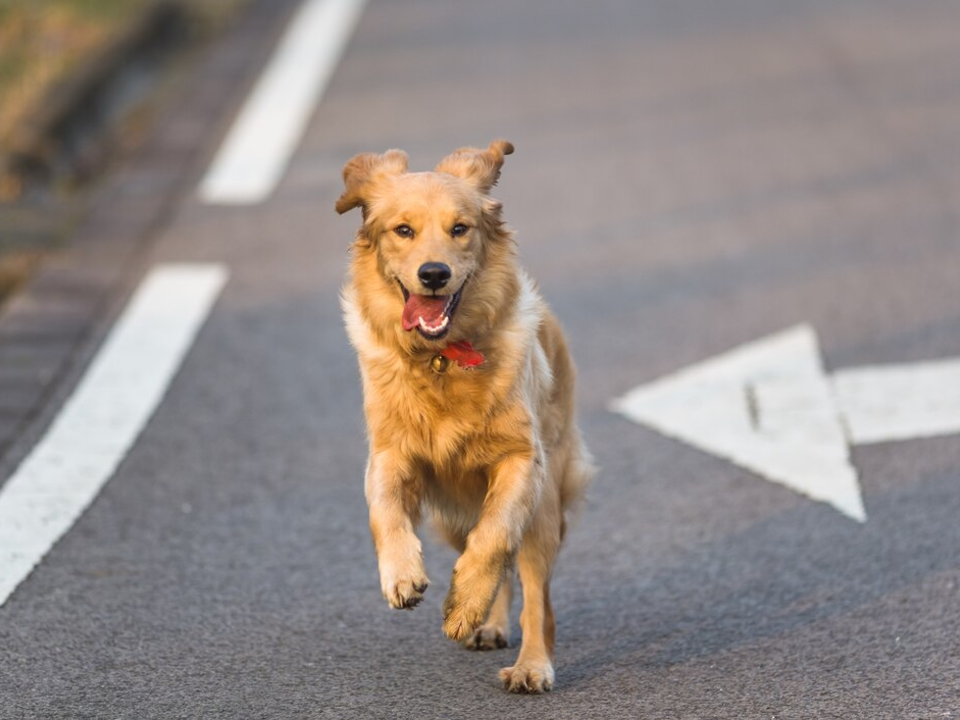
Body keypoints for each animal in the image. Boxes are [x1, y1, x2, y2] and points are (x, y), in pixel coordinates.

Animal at [338, 139, 592, 692]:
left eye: (460, 228)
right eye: (403, 230)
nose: (433, 274)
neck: (441, 359)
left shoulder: (522, 461)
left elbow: (494, 539)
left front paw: (465, 604)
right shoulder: (388, 454)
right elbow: (383, 511)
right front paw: (401, 575)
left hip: (544, 505)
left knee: (531, 590)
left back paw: (529, 663)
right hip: (449, 518)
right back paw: (489, 625)